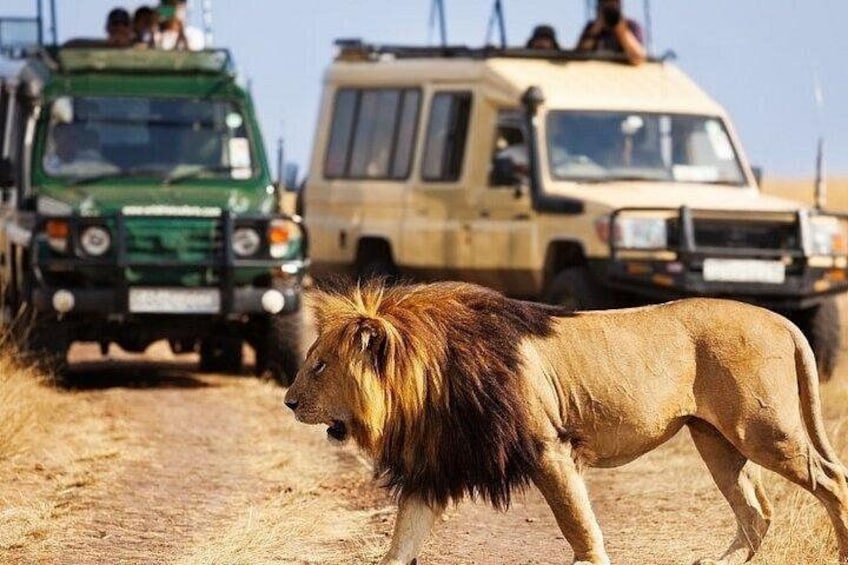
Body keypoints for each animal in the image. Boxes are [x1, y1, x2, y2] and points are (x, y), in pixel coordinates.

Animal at [284, 280, 848, 565]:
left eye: (320, 365)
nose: (289, 402)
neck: (430, 381)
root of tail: (780, 319)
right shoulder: (435, 467)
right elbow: (402, 542)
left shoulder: (549, 448)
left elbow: (579, 525)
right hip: (714, 438)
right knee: (756, 512)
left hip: (763, 429)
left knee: (832, 478)